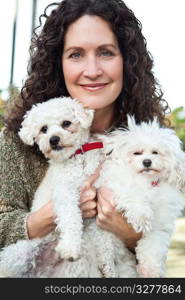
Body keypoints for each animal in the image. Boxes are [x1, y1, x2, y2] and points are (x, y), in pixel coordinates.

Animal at [94, 116, 185, 278]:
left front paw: (150, 269)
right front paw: (141, 216)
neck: (147, 181)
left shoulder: (160, 224)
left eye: (155, 152)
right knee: (105, 249)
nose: (147, 161)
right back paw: (106, 265)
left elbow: (154, 245)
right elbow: (133, 194)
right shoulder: (117, 183)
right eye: (137, 153)